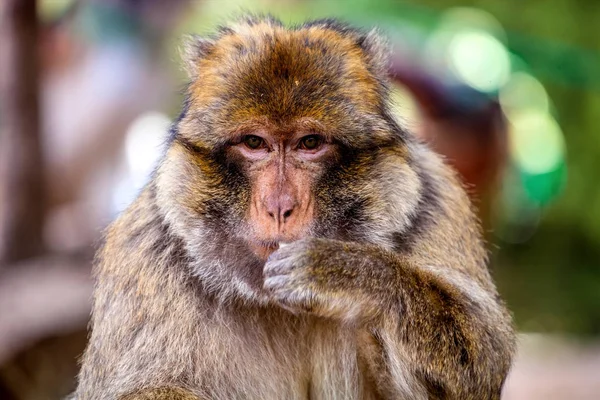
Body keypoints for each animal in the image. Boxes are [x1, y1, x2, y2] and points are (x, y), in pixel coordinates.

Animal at [74, 16, 516, 400]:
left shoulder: (434, 200)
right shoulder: (146, 244)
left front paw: (348, 274)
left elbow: (484, 357)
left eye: (309, 143)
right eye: (254, 143)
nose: (280, 206)